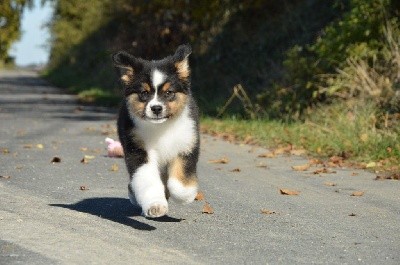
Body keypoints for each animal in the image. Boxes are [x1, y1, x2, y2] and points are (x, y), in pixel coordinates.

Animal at [111, 44, 199, 217]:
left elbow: (180, 180)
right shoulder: (137, 149)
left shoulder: (187, 143)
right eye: (144, 93)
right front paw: (155, 205)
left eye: (169, 92)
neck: (161, 127)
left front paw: (185, 196)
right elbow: (146, 178)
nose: (156, 108)